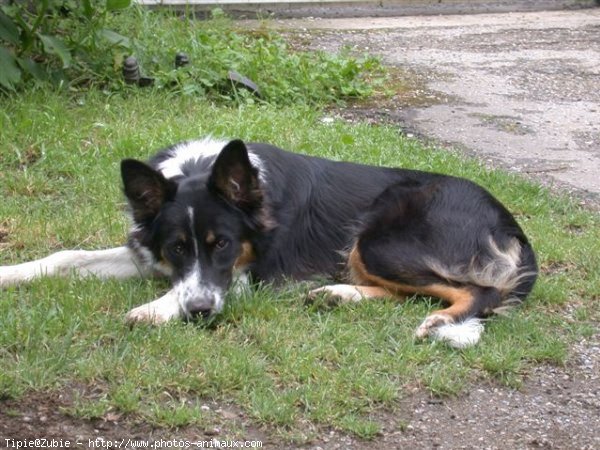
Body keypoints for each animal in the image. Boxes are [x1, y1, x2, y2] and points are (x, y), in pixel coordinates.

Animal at [0, 137, 540, 348]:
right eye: (177, 247)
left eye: (223, 244)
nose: (200, 313)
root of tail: (509, 223)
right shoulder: (150, 254)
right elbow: (67, 256)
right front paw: (11, 273)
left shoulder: (243, 275)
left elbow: (190, 290)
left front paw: (155, 309)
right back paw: (337, 294)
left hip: (379, 239)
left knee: (477, 292)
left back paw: (440, 321)